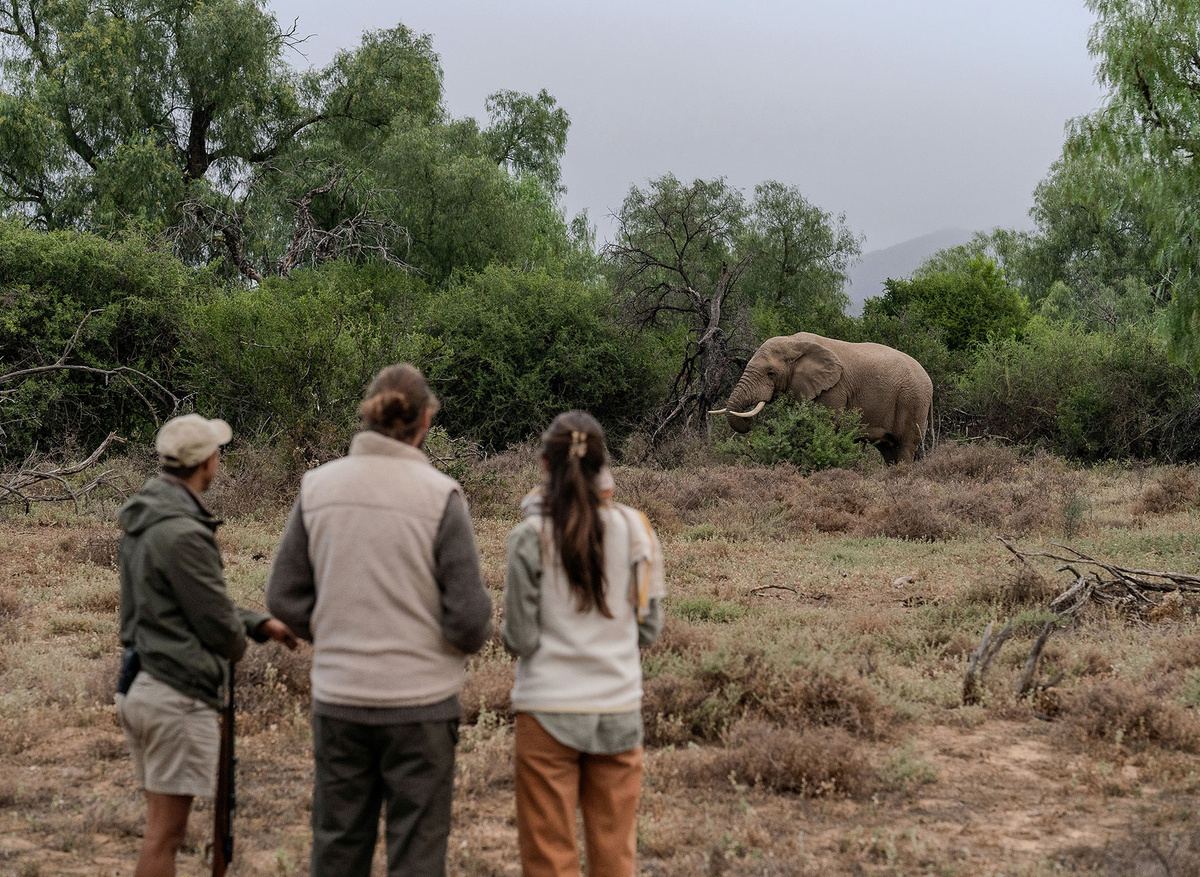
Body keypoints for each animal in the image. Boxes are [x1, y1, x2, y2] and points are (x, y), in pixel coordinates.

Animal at [711, 332, 933, 465]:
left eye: (771, 374)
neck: (795, 343)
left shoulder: (833, 389)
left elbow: (824, 425)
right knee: (887, 450)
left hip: (913, 399)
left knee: (906, 446)